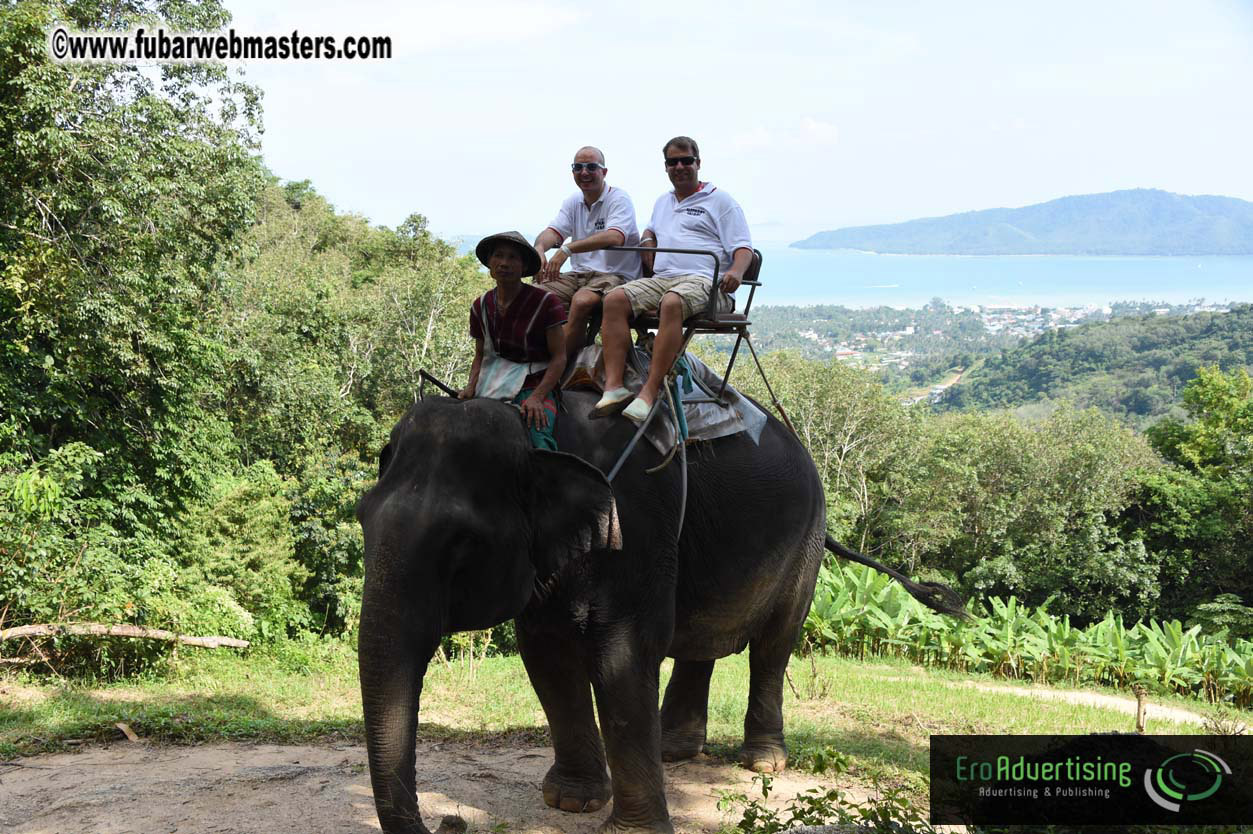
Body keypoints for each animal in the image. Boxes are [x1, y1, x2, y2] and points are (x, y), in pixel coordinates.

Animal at [355, 388, 965, 834]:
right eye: (362, 517)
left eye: (461, 542)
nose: (452, 822)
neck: (536, 429)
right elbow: (547, 655)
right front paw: (571, 803)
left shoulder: (638, 522)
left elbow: (623, 653)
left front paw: (633, 829)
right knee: (702, 640)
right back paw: (675, 752)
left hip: (806, 544)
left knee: (774, 645)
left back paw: (763, 762)